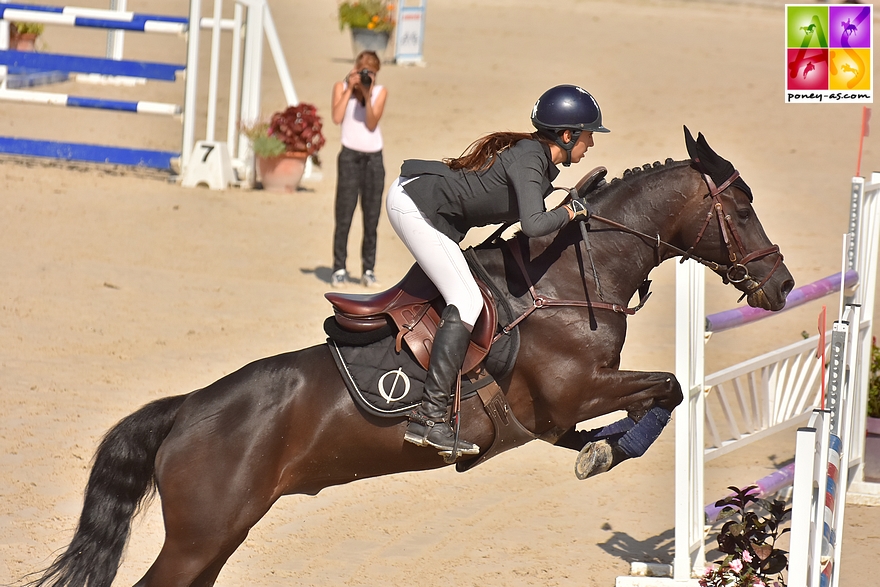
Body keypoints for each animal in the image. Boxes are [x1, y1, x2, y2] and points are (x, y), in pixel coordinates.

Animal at [29, 130, 796, 587]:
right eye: (743, 209)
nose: (782, 284)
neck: (569, 277)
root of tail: (185, 410)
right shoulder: (576, 389)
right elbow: (669, 387)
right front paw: (604, 452)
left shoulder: (560, 412)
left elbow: (652, 399)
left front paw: (596, 448)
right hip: (201, 534)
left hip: (221, 535)